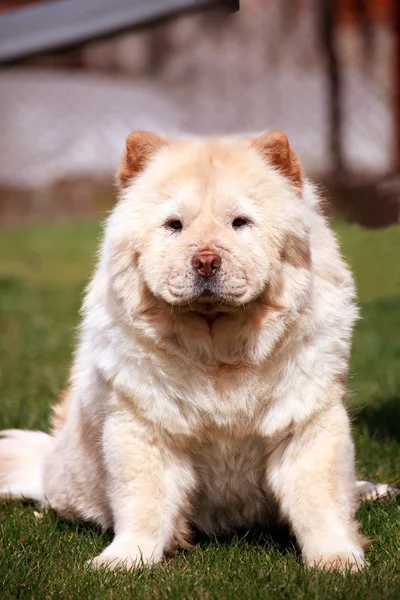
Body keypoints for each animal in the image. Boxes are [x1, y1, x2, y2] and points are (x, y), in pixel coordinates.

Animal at [0, 129, 384, 568]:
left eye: (240, 222)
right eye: (174, 225)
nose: (205, 261)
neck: (219, 351)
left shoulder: (305, 420)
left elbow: (321, 498)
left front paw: (338, 559)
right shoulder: (144, 427)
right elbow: (142, 502)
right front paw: (123, 559)